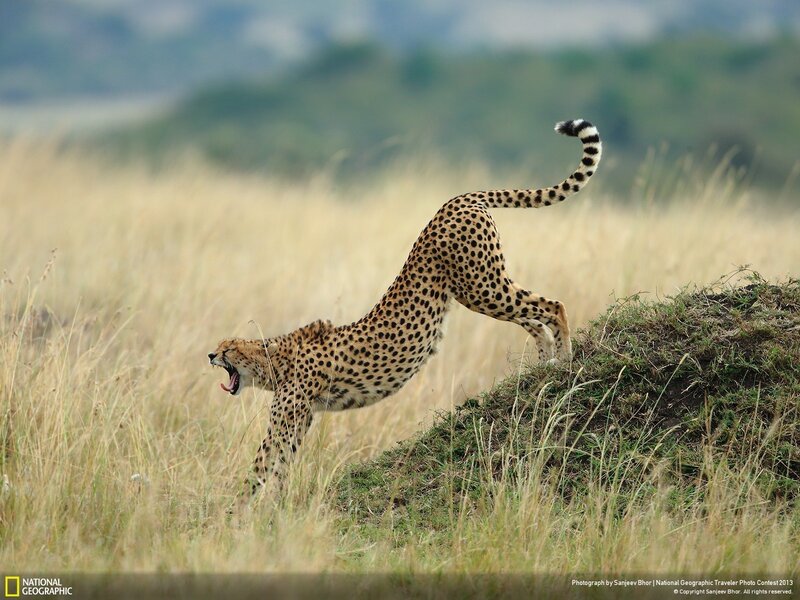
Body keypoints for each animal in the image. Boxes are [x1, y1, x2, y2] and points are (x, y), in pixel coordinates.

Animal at [209, 118, 602, 511]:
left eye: (228, 348)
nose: (210, 355)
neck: (275, 358)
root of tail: (458, 198)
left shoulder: (291, 413)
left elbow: (262, 463)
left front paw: (238, 510)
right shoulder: (300, 417)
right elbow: (280, 463)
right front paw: (273, 503)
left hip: (480, 285)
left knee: (552, 306)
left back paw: (564, 360)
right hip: (481, 288)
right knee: (534, 317)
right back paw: (541, 366)